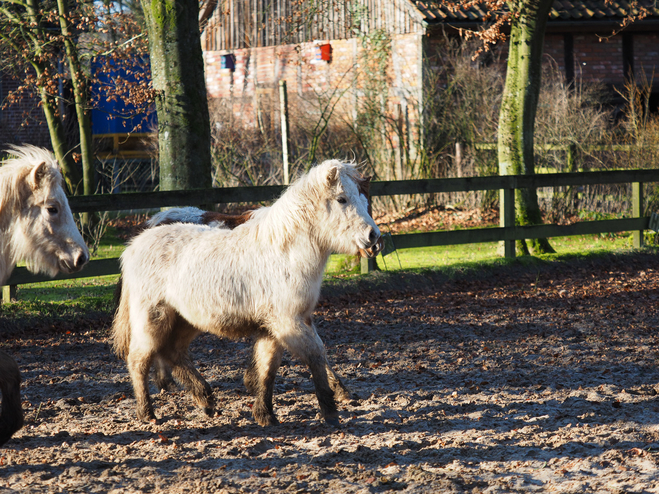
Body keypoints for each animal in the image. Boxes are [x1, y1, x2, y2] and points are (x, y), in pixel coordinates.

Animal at [113, 160, 382, 426]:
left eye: (365, 199)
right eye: (341, 199)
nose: (374, 237)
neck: (284, 253)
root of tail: (135, 245)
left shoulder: (274, 327)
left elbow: (267, 368)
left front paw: (265, 414)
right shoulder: (287, 323)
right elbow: (315, 355)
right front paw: (330, 412)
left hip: (185, 320)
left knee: (172, 352)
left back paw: (205, 399)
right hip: (153, 319)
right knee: (139, 360)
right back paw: (147, 413)